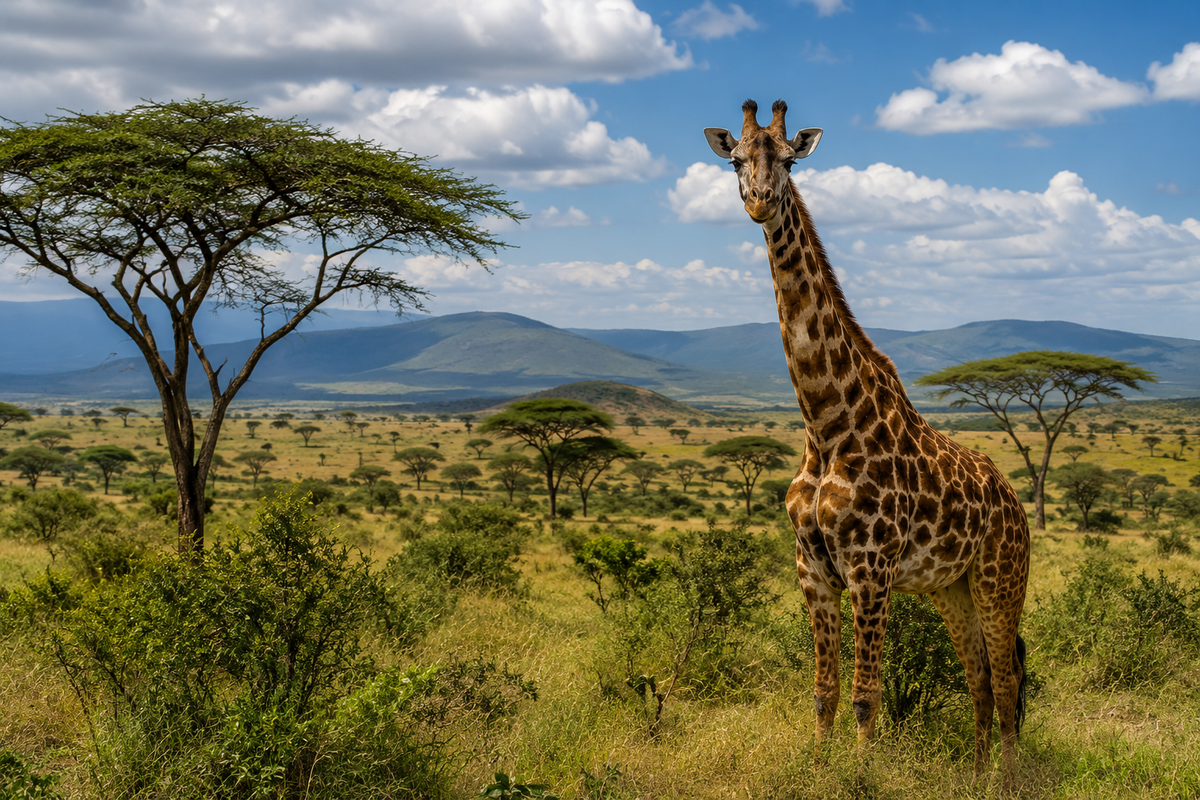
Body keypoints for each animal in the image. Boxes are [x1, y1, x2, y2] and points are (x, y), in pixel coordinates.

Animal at [704, 100, 1030, 785]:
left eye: (790, 160)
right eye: (737, 161)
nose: (761, 201)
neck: (826, 423)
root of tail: (1016, 503)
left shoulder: (870, 567)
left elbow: (864, 694)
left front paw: (859, 775)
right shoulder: (813, 569)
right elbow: (824, 690)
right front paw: (817, 768)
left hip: (1000, 577)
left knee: (1008, 677)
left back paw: (1008, 780)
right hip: (950, 587)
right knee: (980, 679)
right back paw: (975, 776)